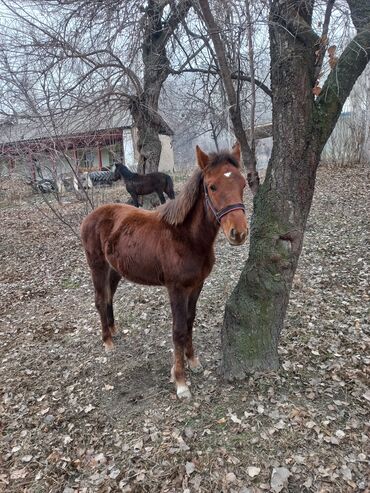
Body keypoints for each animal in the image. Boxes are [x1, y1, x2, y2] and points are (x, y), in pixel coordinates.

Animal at [81, 144, 249, 398]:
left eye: (243, 184)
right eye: (212, 186)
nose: (238, 233)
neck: (186, 237)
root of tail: (90, 217)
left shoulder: (196, 285)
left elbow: (189, 322)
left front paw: (193, 361)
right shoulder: (176, 288)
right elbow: (178, 329)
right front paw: (180, 381)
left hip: (114, 270)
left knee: (109, 297)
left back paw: (113, 329)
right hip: (97, 266)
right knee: (101, 300)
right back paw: (107, 342)